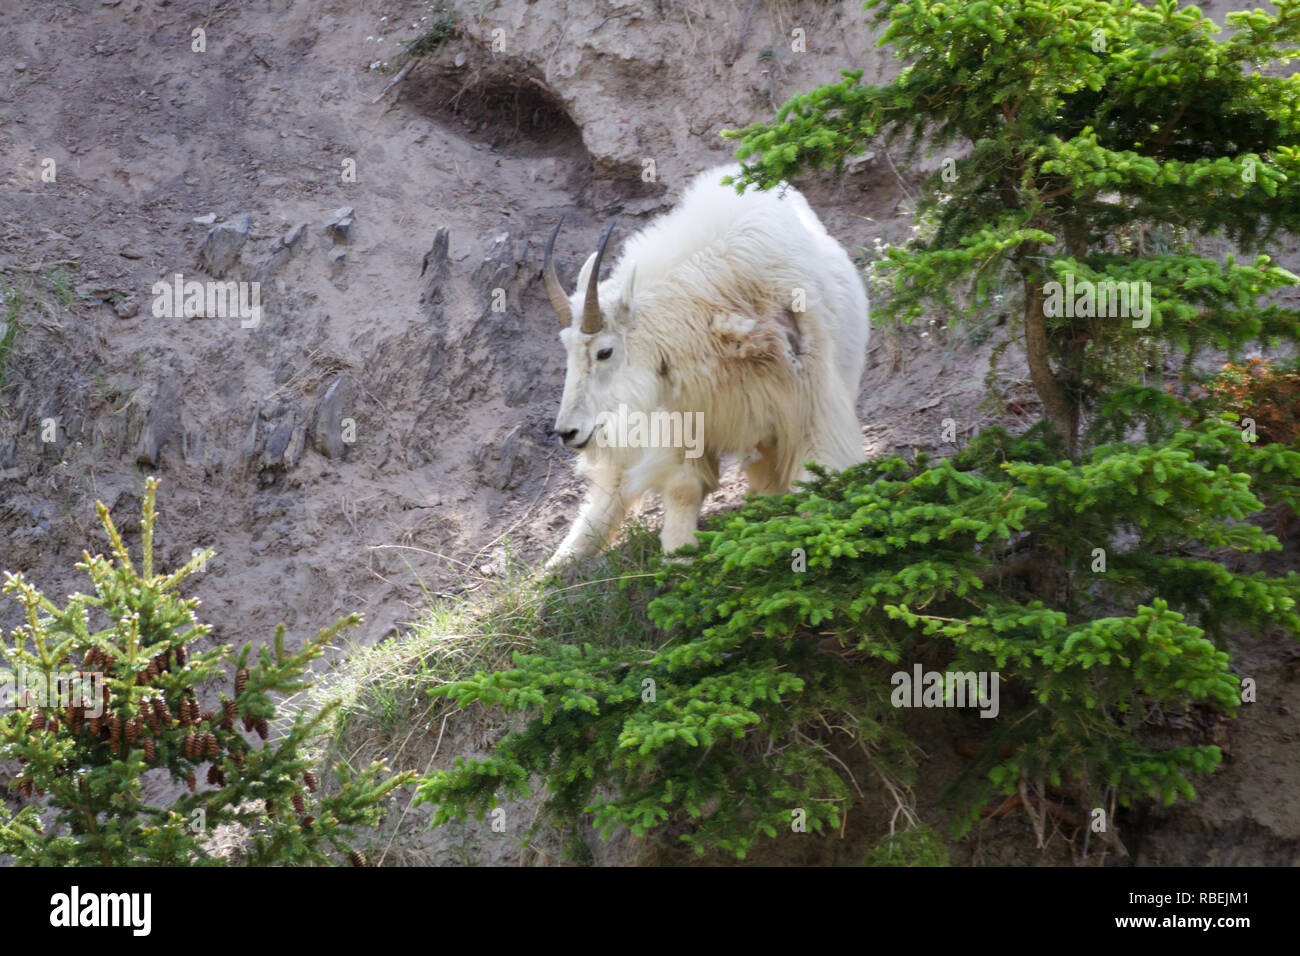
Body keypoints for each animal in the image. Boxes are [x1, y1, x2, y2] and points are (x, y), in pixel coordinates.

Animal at [543, 164, 868, 567]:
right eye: (567, 349)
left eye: (605, 352)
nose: (567, 432)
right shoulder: (681, 418)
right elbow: (683, 486)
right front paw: (678, 553)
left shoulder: (811, 405)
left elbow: (815, 479)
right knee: (613, 485)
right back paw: (558, 563)